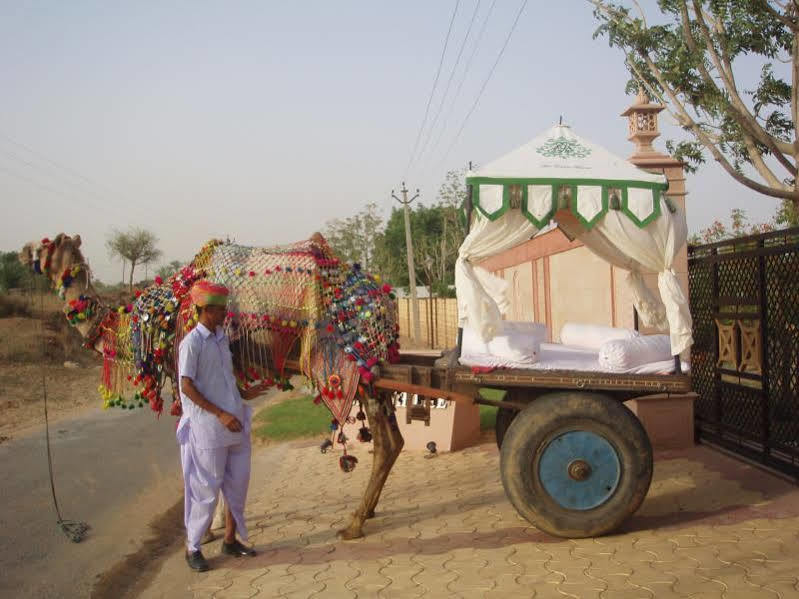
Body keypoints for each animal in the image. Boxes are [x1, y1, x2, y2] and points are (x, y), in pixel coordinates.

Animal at [20, 232, 406, 540]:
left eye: (45, 244)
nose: (22, 252)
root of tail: (385, 298)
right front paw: (221, 522)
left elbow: (202, 448)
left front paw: (207, 530)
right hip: (374, 371)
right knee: (394, 439)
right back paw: (368, 511)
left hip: (356, 365)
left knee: (385, 442)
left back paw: (354, 523)